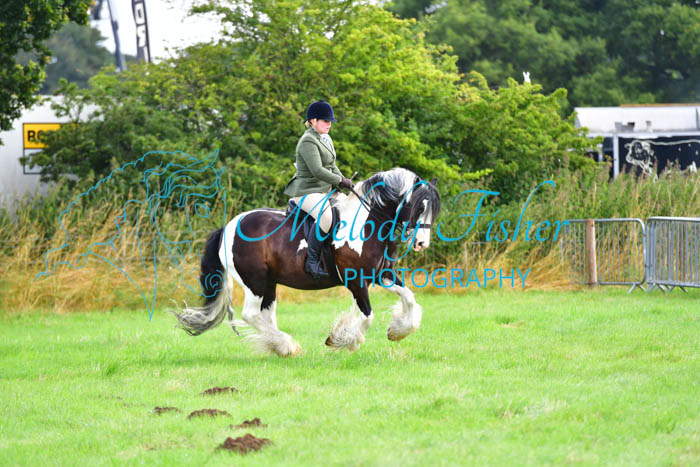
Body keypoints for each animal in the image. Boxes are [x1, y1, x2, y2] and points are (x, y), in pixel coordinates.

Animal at [172, 168, 440, 356]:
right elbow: (367, 316)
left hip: (269, 283)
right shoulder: (355, 281)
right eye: (419, 208)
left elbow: (410, 298)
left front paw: (398, 331)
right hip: (254, 281)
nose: (421, 244)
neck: (368, 222)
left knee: (265, 315)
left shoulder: (381, 274)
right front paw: (341, 340)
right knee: (250, 314)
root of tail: (228, 227)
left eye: (434, 210)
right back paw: (286, 345)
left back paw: (280, 347)